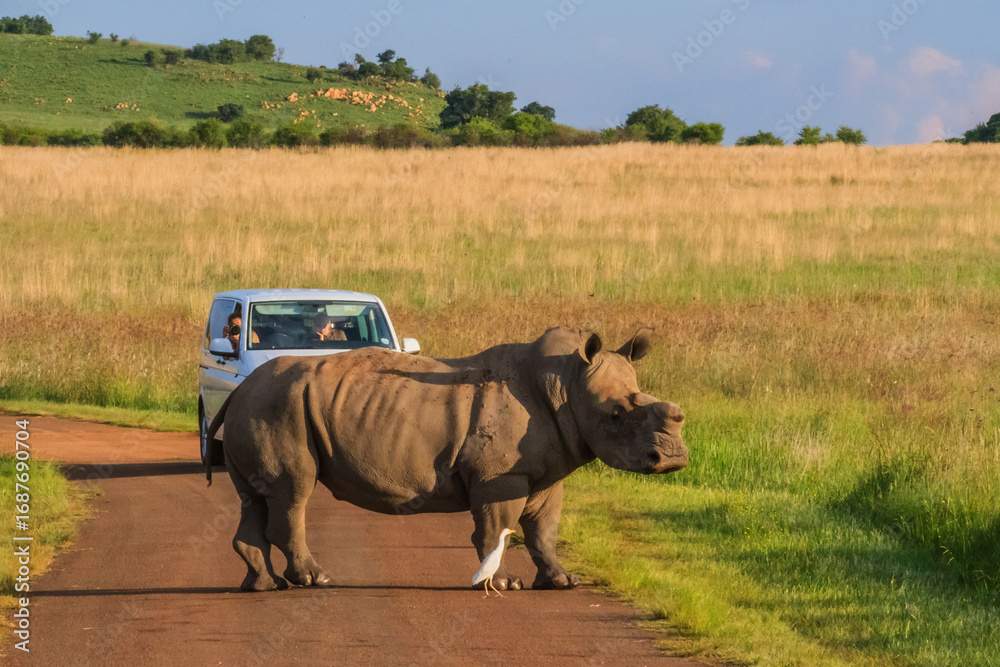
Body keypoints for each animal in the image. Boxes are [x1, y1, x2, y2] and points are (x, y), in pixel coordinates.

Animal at [206, 326, 687, 592]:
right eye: (617, 415)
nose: (673, 458)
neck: (566, 383)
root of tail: (237, 391)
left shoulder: (546, 472)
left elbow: (544, 531)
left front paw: (563, 583)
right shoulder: (501, 475)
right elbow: (498, 528)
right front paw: (504, 584)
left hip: (263, 404)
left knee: (257, 498)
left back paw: (263, 586)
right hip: (276, 406)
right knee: (293, 493)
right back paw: (316, 580)